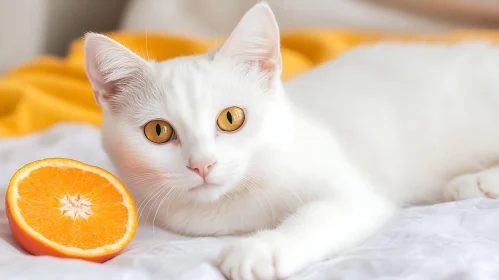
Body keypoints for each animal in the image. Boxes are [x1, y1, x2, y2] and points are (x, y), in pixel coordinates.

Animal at [84, 2, 499, 280]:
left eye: (231, 118)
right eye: (158, 131)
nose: (202, 164)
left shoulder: (351, 192)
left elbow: (318, 217)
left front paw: (261, 249)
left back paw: (477, 181)